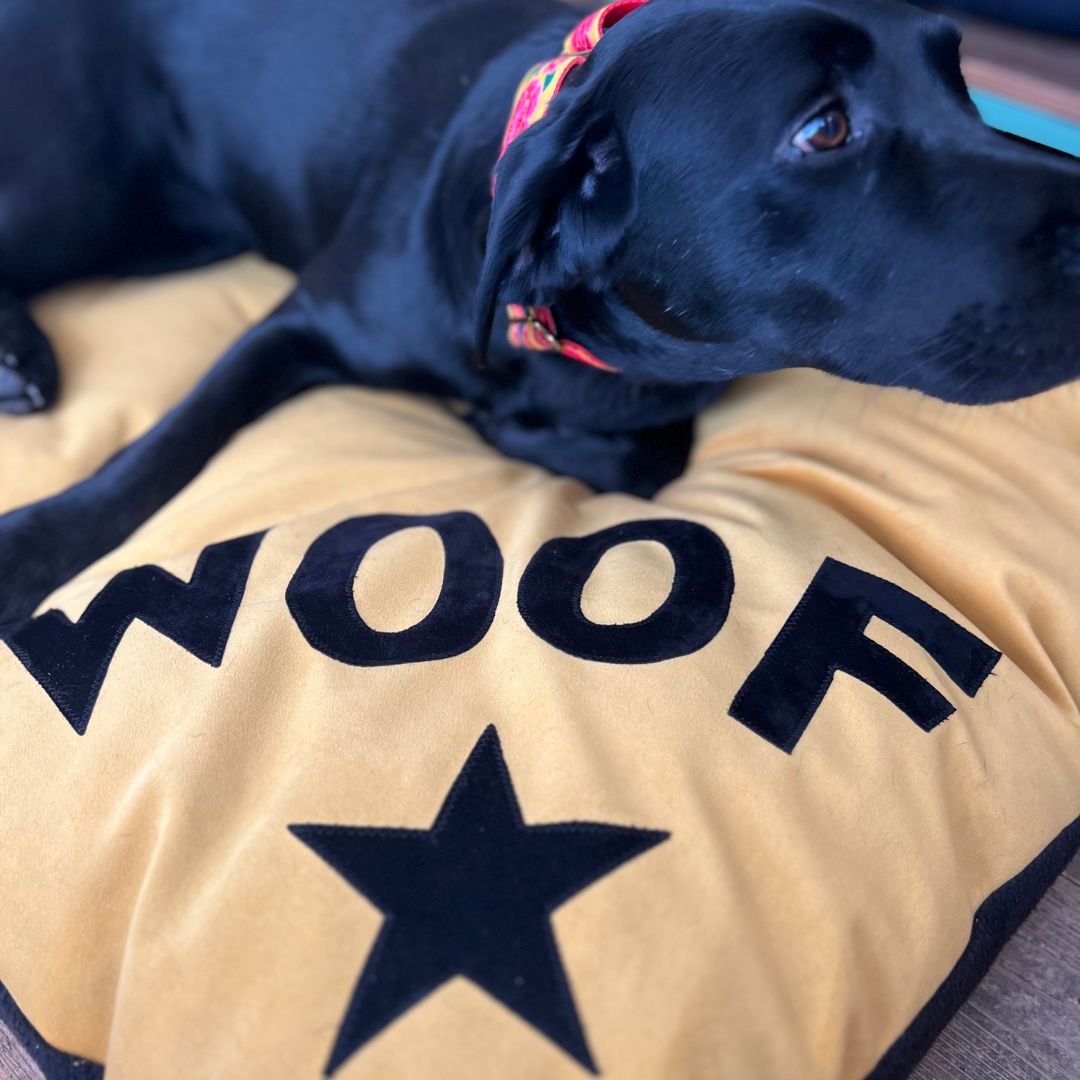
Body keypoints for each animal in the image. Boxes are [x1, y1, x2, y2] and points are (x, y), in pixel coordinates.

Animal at [0, 0, 1075, 626]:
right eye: (824, 128)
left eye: (962, 82)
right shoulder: (300, 321)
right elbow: (166, 443)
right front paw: (34, 547)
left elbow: (651, 457)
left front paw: (514, 425)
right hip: (79, 188)